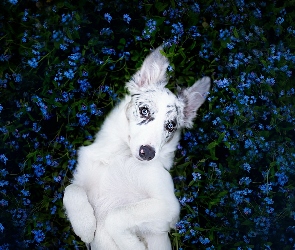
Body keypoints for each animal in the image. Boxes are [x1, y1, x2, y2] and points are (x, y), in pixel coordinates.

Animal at [63, 46, 210, 248]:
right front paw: (84, 226)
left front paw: (132, 245)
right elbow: (71, 190)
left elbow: (116, 216)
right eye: (144, 111)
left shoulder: (168, 206)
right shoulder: (83, 179)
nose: (147, 153)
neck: (120, 155)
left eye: (170, 126)